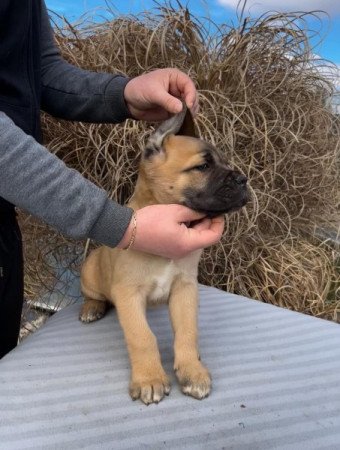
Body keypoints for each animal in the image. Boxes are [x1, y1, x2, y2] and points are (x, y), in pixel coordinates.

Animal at [81, 107, 248, 406]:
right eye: (203, 167)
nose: (244, 180)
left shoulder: (185, 288)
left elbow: (187, 332)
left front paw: (192, 370)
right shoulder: (128, 294)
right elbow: (142, 337)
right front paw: (149, 378)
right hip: (89, 273)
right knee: (94, 295)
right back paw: (92, 307)